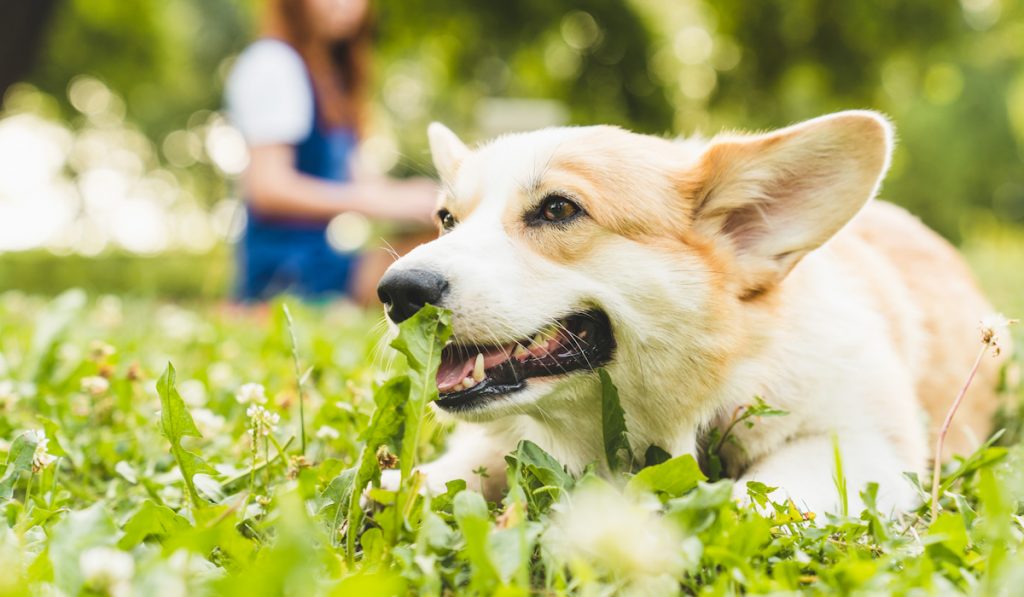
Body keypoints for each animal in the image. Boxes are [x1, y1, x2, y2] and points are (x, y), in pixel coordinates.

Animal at [376, 112, 1007, 514]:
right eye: (446, 219)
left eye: (558, 209)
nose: (397, 292)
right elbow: (432, 475)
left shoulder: (867, 445)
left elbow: (755, 499)